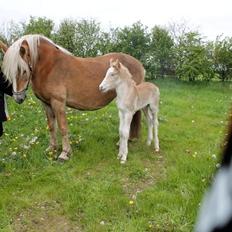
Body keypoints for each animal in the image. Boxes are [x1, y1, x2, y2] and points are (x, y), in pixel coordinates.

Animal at [1, 34, 144, 160]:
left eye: (24, 70)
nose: (18, 98)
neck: (50, 66)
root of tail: (139, 64)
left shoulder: (58, 102)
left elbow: (63, 127)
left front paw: (65, 153)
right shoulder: (46, 103)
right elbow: (51, 127)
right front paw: (52, 148)